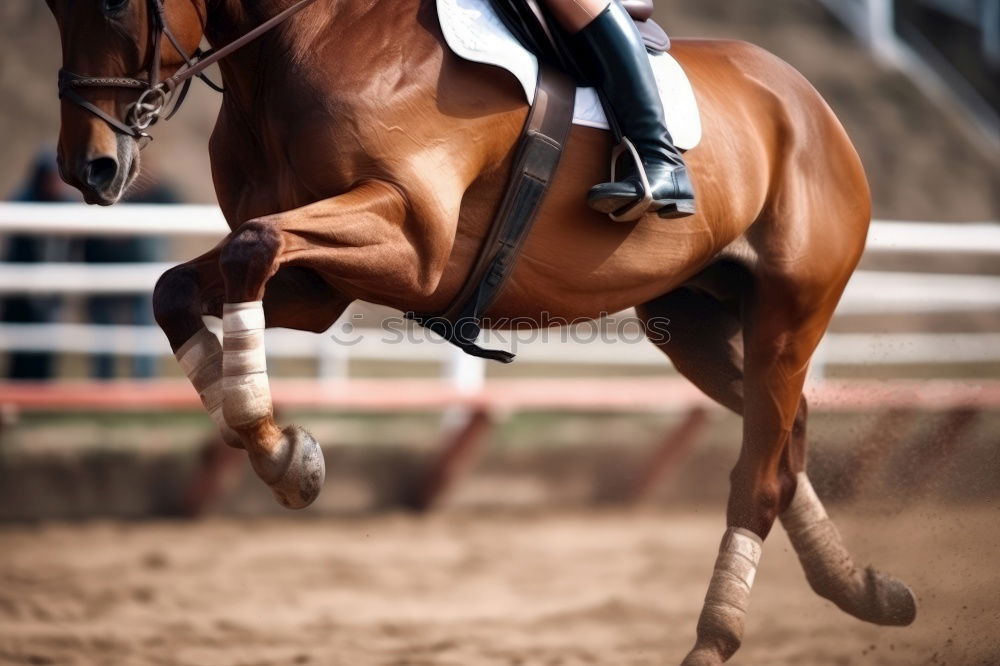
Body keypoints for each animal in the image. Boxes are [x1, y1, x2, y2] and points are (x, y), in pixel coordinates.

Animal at [43, 0, 916, 656]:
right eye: (55, 4)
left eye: (117, 1)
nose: (88, 168)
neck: (298, 47)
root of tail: (809, 103)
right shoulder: (317, 284)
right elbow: (181, 287)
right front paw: (279, 452)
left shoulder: (411, 244)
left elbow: (249, 246)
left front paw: (274, 443)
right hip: (693, 325)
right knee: (788, 441)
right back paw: (863, 590)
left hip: (788, 314)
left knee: (760, 475)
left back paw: (717, 638)